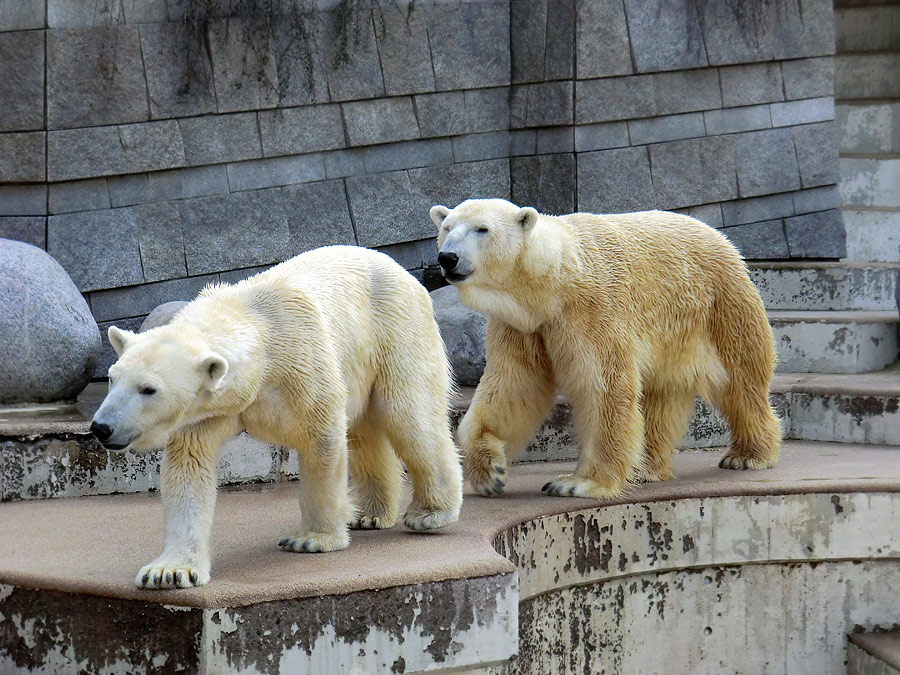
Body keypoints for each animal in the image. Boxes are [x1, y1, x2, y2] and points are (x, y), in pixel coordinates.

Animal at [89, 246, 464, 588]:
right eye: (112, 377)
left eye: (148, 389)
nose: (101, 427)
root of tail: (401, 270)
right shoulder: (205, 413)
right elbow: (188, 466)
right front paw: (169, 571)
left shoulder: (303, 366)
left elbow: (322, 438)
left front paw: (312, 539)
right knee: (366, 431)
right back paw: (370, 514)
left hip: (395, 329)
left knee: (409, 414)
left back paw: (430, 513)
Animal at [430, 198, 780, 500]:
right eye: (447, 227)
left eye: (482, 229)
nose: (448, 258)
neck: (557, 278)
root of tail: (720, 236)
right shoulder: (523, 325)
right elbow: (512, 386)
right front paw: (490, 472)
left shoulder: (594, 311)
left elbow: (604, 387)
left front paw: (579, 484)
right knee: (658, 397)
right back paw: (645, 468)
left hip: (720, 305)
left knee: (739, 379)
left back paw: (748, 455)